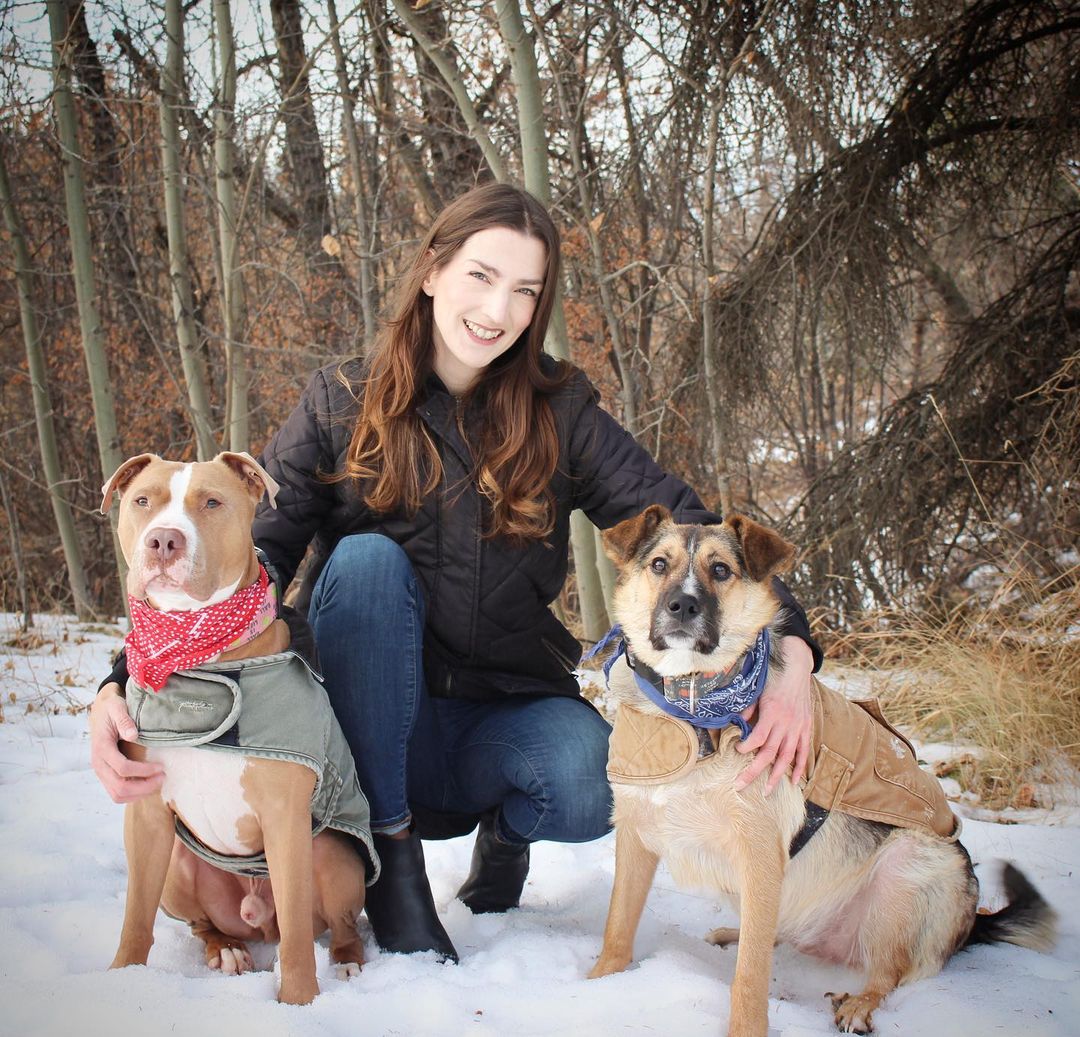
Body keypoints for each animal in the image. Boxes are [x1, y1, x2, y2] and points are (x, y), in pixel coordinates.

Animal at [103, 453, 369, 1002]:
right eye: (143, 500)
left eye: (211, 502)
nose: (164, 540)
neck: (198, 658)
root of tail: (255, 920)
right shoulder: (145, 815)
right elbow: (135, 916)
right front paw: (122, 979)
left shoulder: (285, 817)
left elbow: (296, 936)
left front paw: (299, 1003)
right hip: (178, 867)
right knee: (205, 924)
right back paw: (225, 949)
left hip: (333, 854)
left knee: (327, 925)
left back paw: (347, 962)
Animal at [591, 507, 1054, 1037]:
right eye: (660, 565)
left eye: (721, 570)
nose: (682, 605)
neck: (692, 706)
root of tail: (971, 918)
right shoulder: (636, 831)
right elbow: (617, 925)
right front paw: (600, 982)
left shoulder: (761, 852)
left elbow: (749, 978)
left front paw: (746, 1028)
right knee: (771, 933)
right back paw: (735, 932)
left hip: (910, 865)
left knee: (885, 972)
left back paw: (859, 1003)